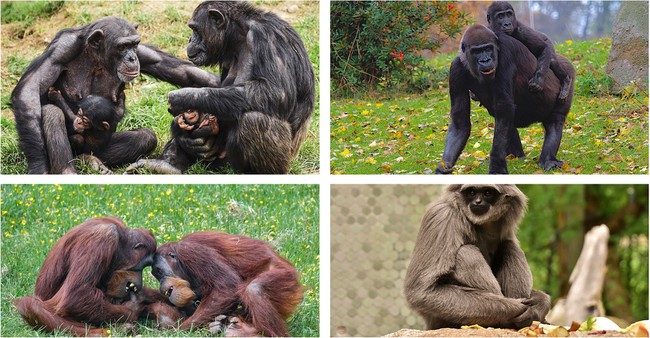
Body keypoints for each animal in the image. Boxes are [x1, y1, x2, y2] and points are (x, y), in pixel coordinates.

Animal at [11, 15, 220, 174]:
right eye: (122, 47)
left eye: (134, 44)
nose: (132, 57)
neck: (96, 56)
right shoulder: (61, 49)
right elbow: (30, 89)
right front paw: (39, 166)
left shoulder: (145, 53)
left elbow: (185, 72)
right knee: (51, 113)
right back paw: (68, 170)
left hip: (99, 149)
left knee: (145, 137)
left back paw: (92, 161)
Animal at [125, 0, 316, 174]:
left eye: (195, 29)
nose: (190, 39)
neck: (239, 36)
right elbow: (215, 85)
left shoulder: (267, 37)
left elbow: (277, 91)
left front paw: (183, 98)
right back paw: (167, 164)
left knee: (253, 119)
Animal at [436, 24, 572, 174]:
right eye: (476, 51)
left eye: (488, 49)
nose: (485, 60)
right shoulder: (455, 68)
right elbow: (460, 124)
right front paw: (444, 166)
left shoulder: (506, 54)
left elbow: (504, 107)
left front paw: (497, 166)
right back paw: (516, 155)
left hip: (567, 80)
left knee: (554, 121)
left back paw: (548, 159)